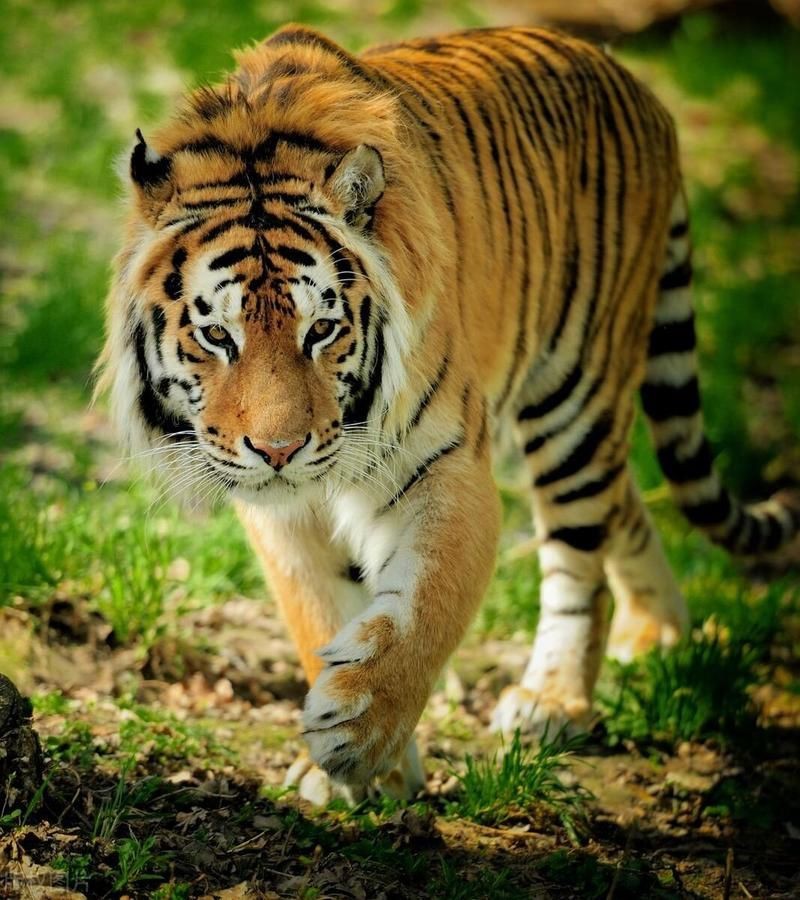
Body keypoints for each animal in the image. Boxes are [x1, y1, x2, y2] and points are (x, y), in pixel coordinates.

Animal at [97, 23, 800, 804]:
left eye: (322, 330)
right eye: (218, 335)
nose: (279, 450)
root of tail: (638, 86)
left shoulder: (446, 465)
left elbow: (426, 605)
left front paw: (359, 733)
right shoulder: (281, 511)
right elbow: (319, 610)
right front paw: (351, 770)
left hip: (577, 397)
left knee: (580, 555)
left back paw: (555, 700)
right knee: (625, 503)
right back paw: (658, 633)